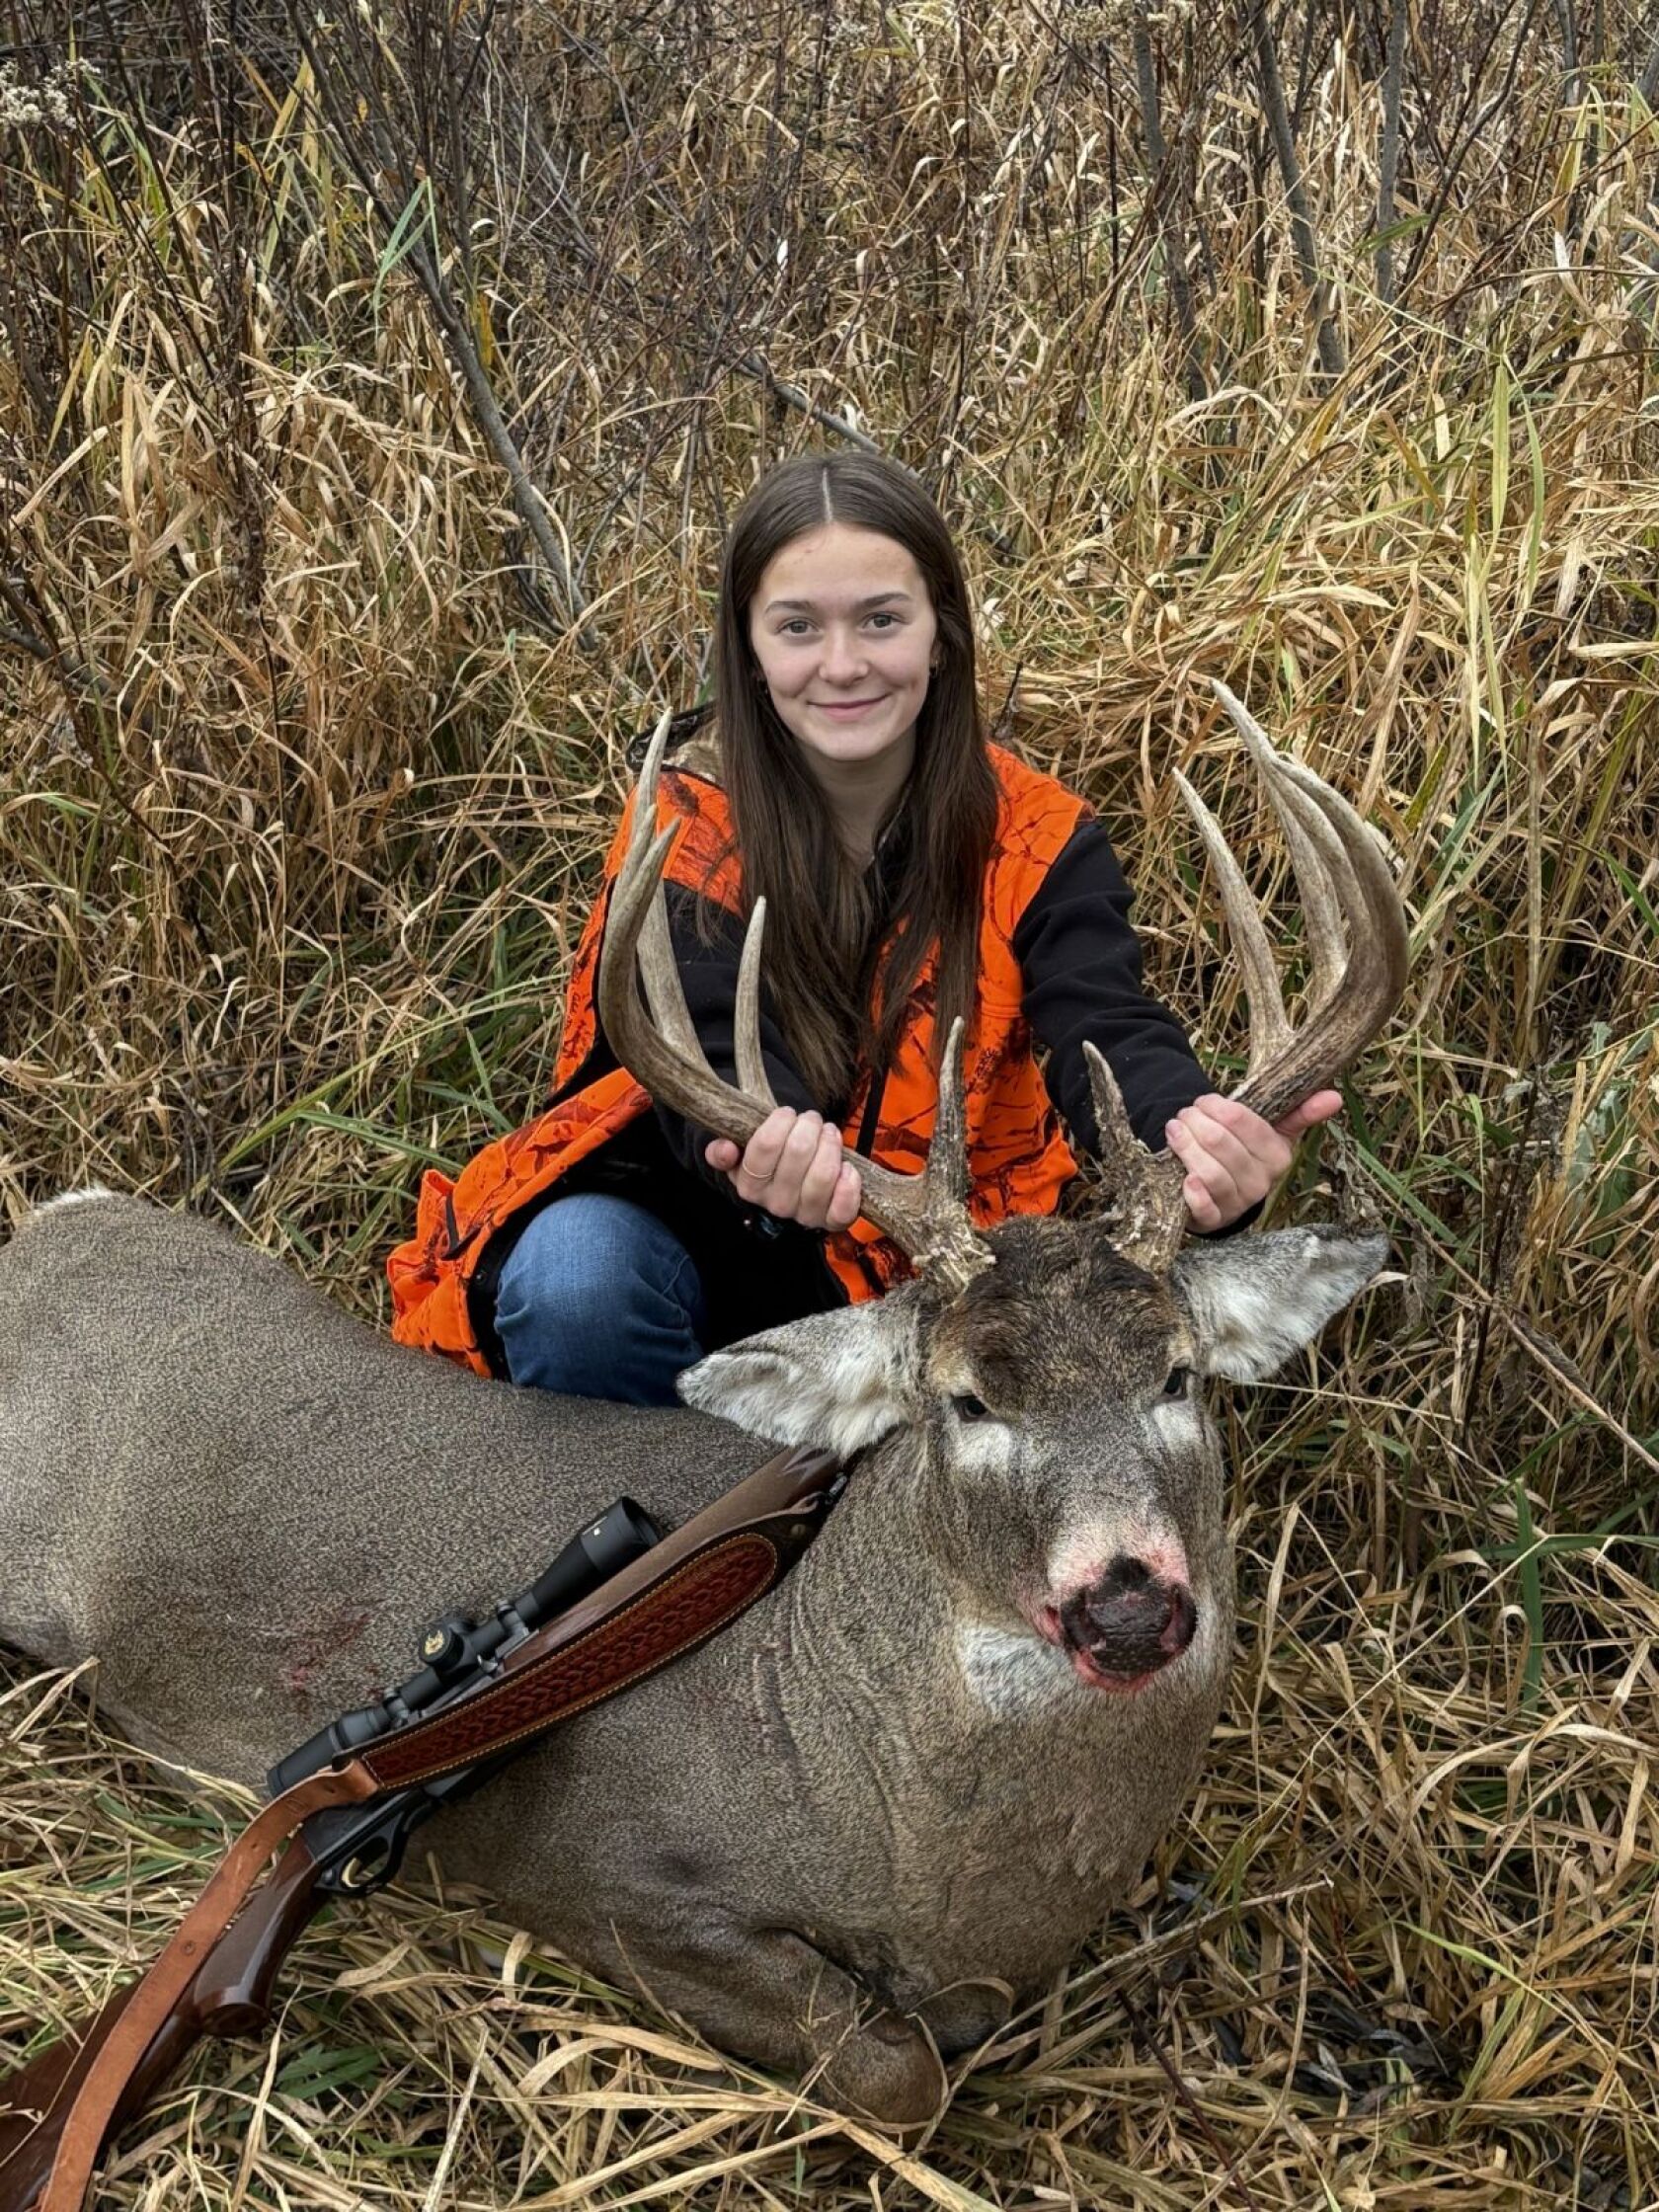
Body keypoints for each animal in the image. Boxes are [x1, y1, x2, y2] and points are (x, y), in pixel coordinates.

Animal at [0, 687, 1408, 2130]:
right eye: (966, 1399)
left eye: (1176, 1374)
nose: (1127, 1602)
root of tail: (49, 1226)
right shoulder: (615, 1873)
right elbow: (899, 2069)